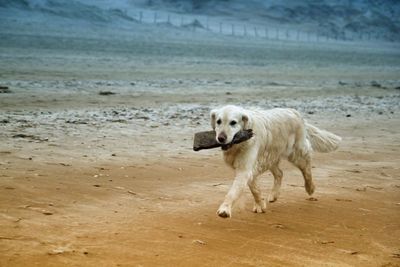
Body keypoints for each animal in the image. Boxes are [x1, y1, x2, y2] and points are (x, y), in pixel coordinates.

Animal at [209, 104, 340, 218]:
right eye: (218, 121)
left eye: (233, 122)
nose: (221, 138)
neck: (239, 144)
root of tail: (295, 112)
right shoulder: (250, 168)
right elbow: (255, 188)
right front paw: (260, 205)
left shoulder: (245, 169)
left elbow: (233, 191)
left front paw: (224, 209)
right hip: (271, 156)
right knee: (280, 173)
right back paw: (273, 195)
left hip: (296, 153)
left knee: (307, 169)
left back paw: (310, 188)